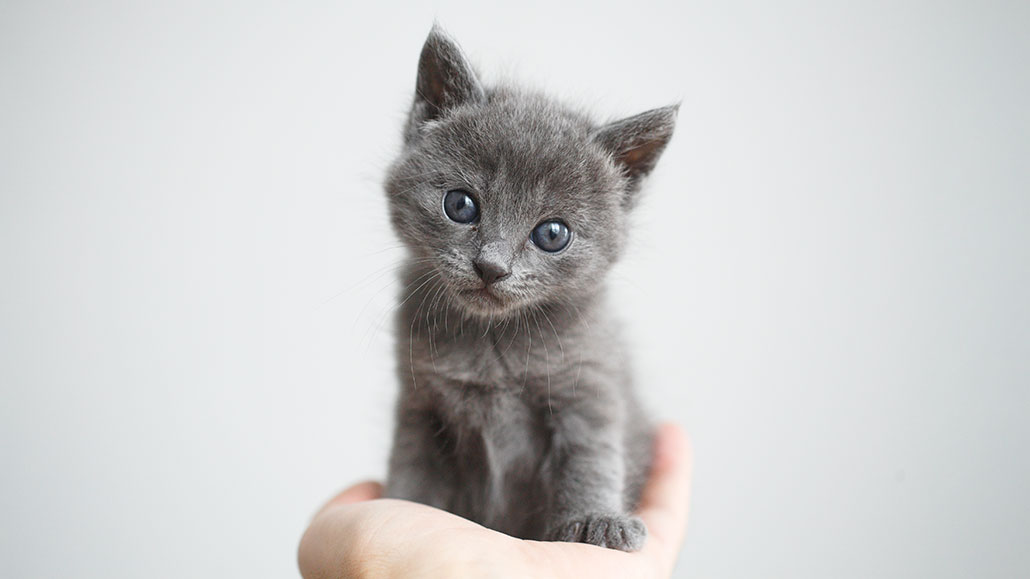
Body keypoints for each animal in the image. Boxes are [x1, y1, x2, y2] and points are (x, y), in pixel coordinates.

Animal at [381, 27, 675, 548]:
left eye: (552, 234)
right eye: (460, 205)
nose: (491, 266)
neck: (490, 343)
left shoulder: (589, 385)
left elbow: (590, 457)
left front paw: (598, 520)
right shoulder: (420, 403)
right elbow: (412, 464)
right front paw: (400, 507)